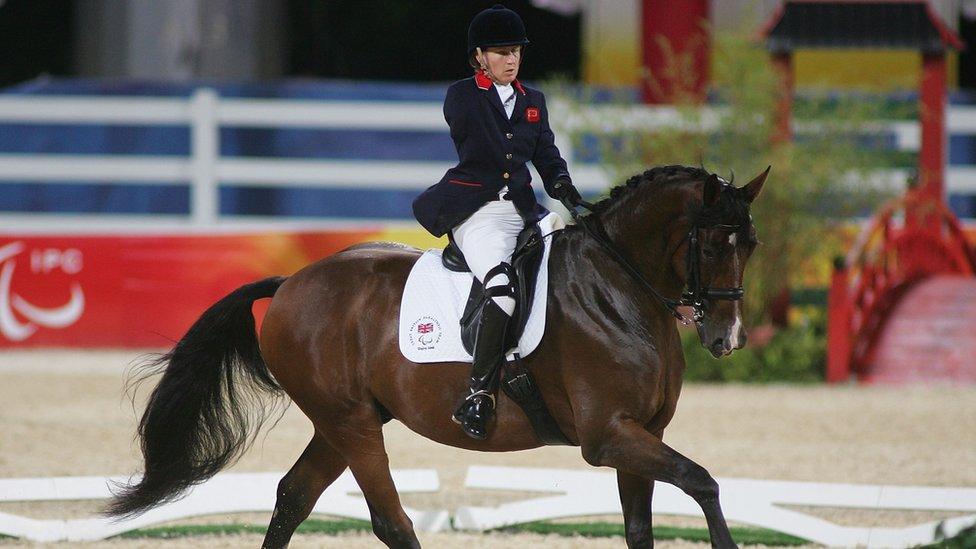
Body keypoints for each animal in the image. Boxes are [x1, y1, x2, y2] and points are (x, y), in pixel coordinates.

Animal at [105, 165, 764, 544]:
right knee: (390, 521)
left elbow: (642, 527)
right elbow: (703, 483)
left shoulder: (644, 430)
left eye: (751, 245)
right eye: (711, 243)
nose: (726, 338)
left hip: (342, 421)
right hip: (351, 421)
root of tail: (292, 282)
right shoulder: (608, 435)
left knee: (293, 497)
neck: (619, 287)